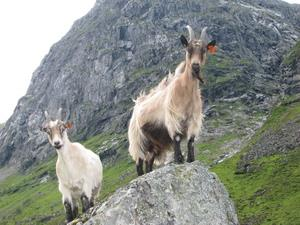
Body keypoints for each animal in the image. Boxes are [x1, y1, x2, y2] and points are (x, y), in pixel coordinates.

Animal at [127, 25, 217, 175]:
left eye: (204, 50)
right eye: (188, 49)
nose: (195, 66)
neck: (185, 93)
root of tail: (137, 104)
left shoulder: (193, 121)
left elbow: (191, 141)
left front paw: (190, 159)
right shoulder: (173, 118)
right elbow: (177, 138)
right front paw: (178, 159)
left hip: (154, 145)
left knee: (148, 162)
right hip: (138, 140)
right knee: (139, 162)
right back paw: (140, 175)